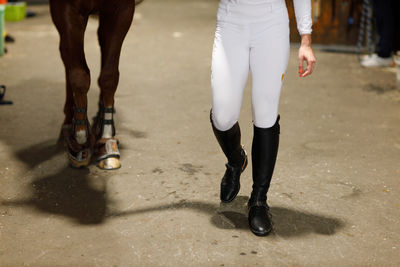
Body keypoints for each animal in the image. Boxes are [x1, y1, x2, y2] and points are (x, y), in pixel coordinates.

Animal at [49, 0, 138, 171]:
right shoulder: (66, 9)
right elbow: (79, 75)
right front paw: (80, 134)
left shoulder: (123, 10)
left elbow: (109, 76)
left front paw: (106, 139)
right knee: (66, 55)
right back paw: (69, 123)